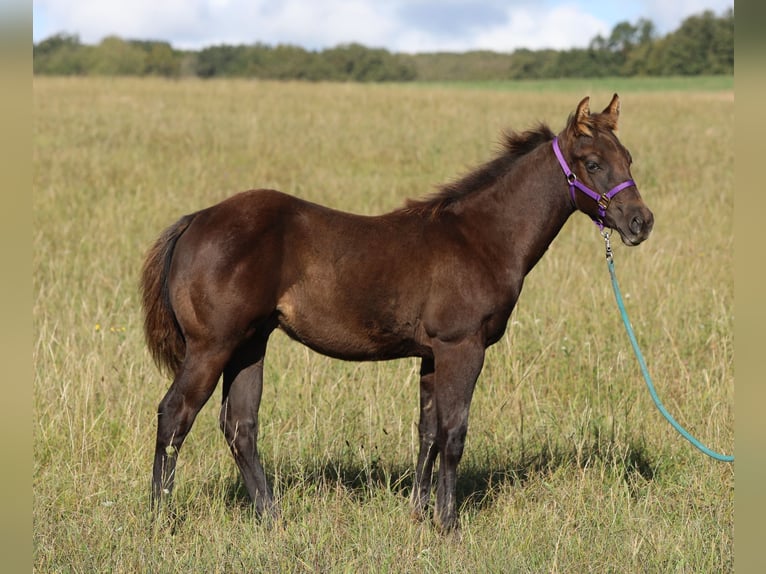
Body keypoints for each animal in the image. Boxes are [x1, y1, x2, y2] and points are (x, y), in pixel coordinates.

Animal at [140, 93, 656, 532]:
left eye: (629, 159)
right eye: (593, 163)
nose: (641, 222)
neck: (480, 238)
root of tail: (195, 220)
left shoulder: (430, 355)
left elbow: (427, 432)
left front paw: (419, 513)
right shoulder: (461, 347)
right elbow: (454, 432)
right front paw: (448, 524)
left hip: (249, 344)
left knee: (240, 427)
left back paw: (273, 519)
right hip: (213, 347)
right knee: (175, 414)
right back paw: (160, 518)